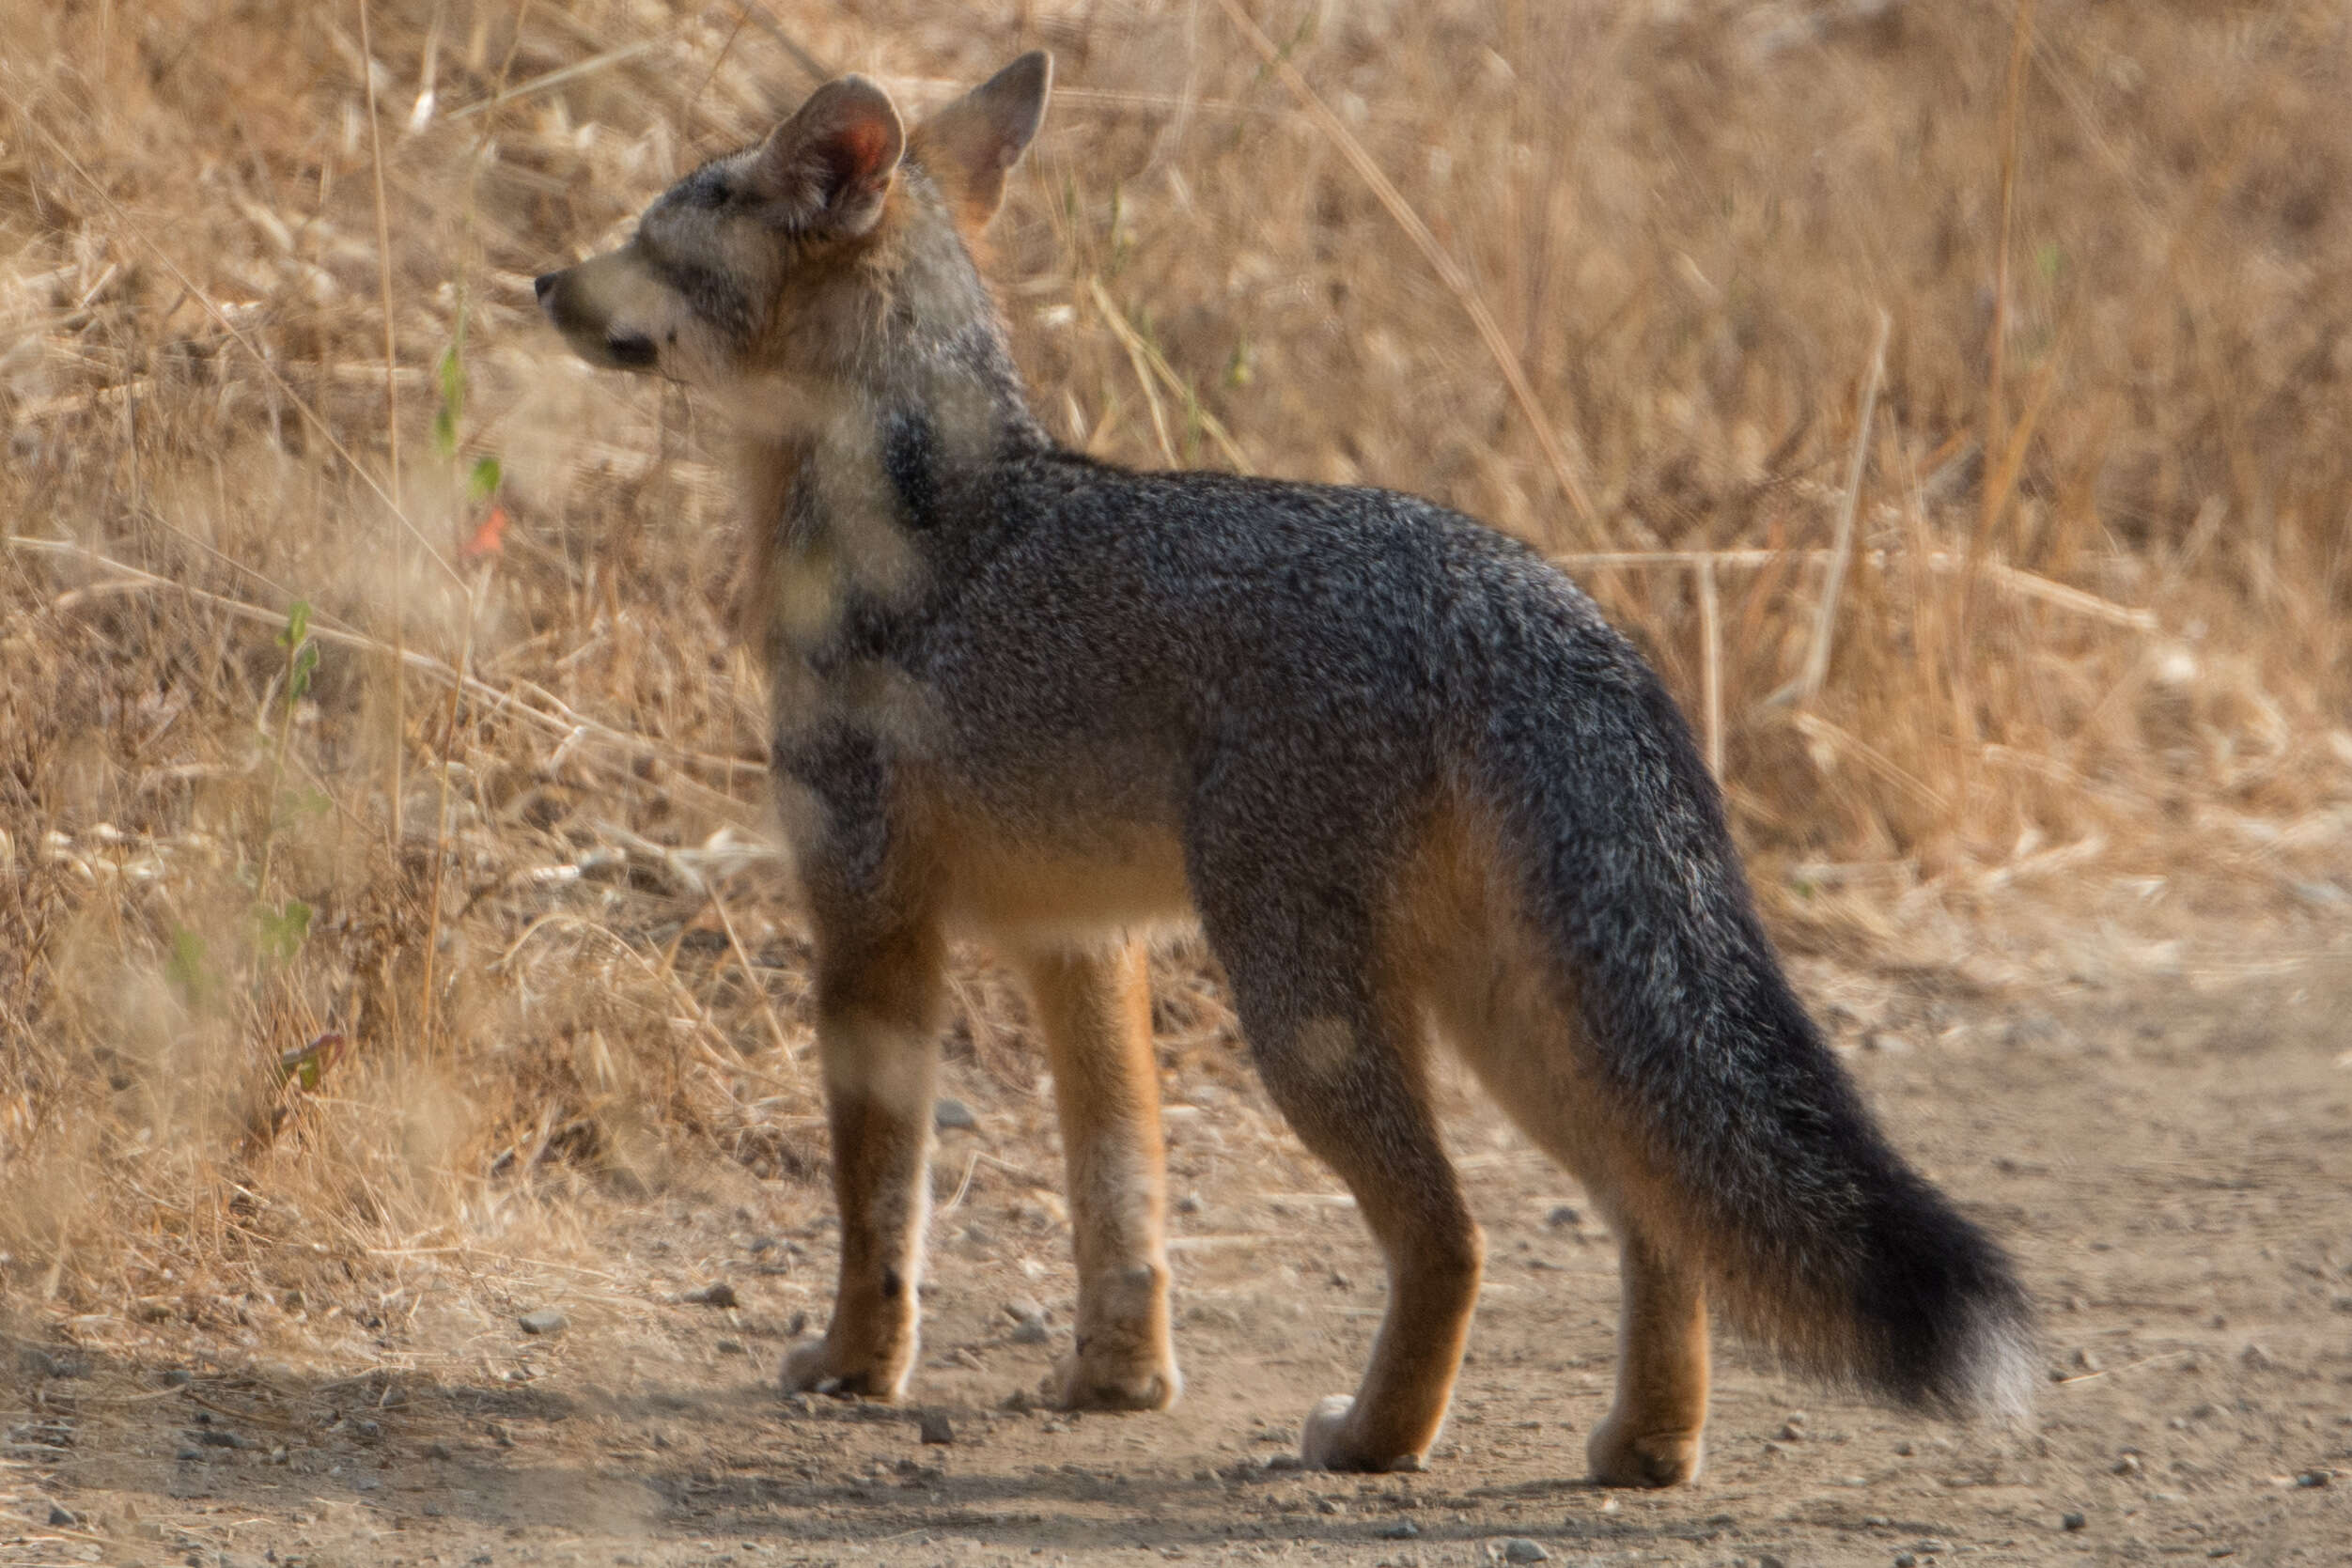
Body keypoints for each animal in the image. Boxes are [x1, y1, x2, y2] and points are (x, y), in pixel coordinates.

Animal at [529, 49, 2022, 1495]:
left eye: (652, 233)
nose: (543, 278)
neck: (908, 508)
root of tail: (1518, 590)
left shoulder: (868, 921)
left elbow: (875, 1193)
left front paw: (856, 1362)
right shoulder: (1082, 940)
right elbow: (1118, 1186)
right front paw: (1116, 1378)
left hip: (1306, 1006)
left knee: (1454, 1235)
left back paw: (1376, 1438)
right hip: (1499, 1007)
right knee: (1657, 1217)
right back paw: (1644, 1448)